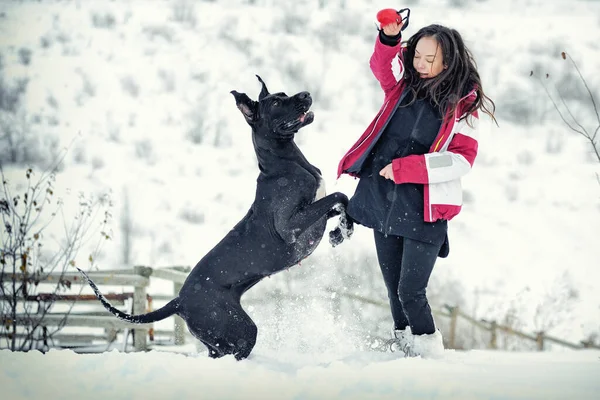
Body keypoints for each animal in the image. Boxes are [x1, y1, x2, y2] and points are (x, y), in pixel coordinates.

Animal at [78, 75, 354, 360]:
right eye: (277, 102)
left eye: (284, 93)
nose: (306, 94)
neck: (285, 162)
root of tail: (179, 301)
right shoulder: (289, 227)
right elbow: (339, 195)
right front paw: (341, 230)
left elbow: (340, 203)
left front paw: (341, 231)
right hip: (237, 327)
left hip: (218, 334)